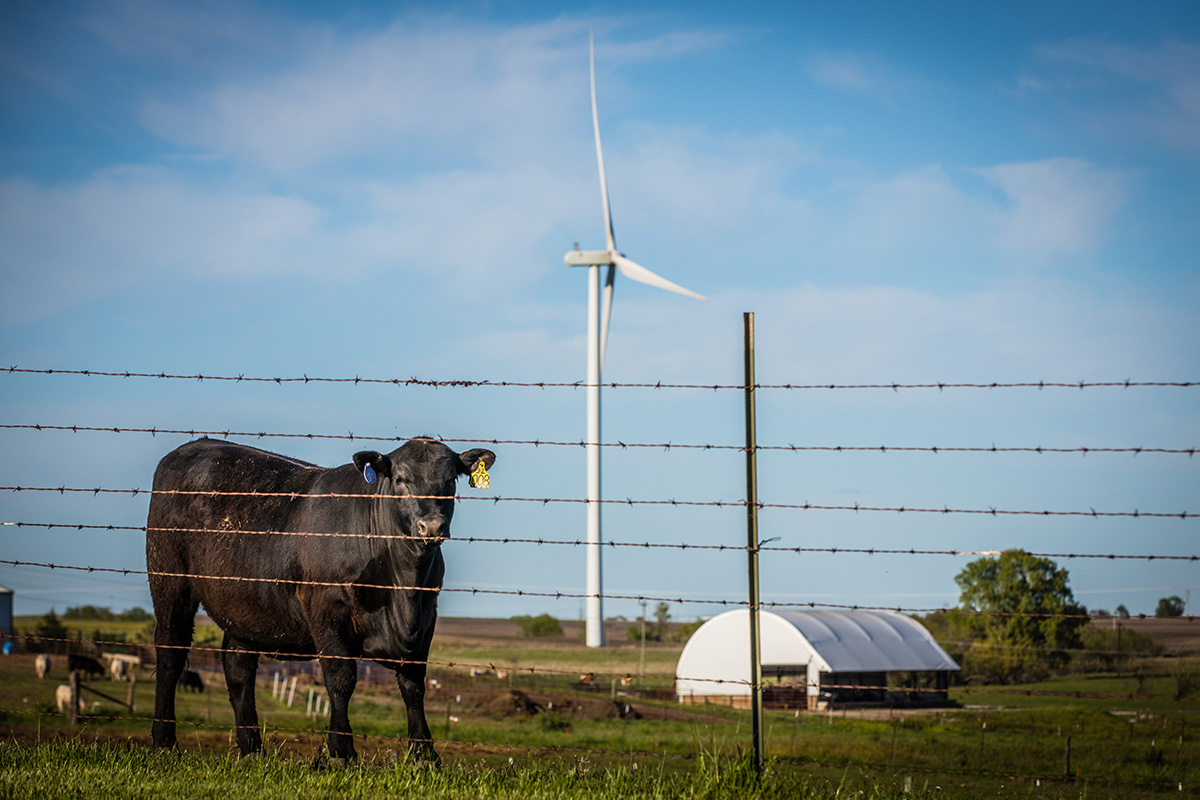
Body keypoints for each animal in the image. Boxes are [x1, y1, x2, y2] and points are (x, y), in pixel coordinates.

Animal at [148, 441, 496, 762]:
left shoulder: (426, 615)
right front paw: (342, 750)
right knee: (170, 653)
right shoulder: (327, 610)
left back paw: (252, 748)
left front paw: (425, 754)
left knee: (238, 669)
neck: (403, 588)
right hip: (169, 580)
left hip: (244, 607)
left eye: (450, 480)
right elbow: (342, 679)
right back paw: (165, 741)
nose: (432, 526)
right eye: (400, 479)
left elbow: (414, 686)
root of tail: (195, 445)